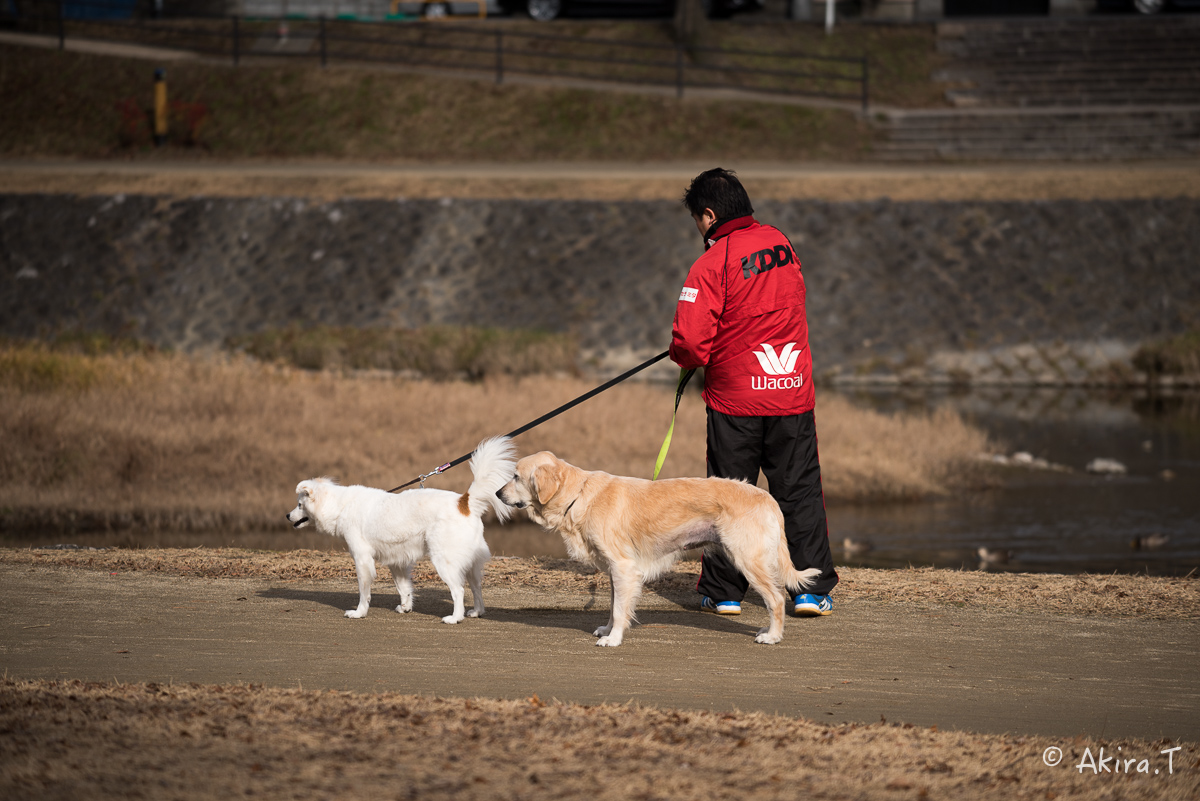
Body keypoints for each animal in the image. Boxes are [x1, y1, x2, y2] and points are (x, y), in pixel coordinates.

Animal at [291, 434, 520, 623]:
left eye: (300, 505)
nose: (287, 515)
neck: (341, 505)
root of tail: (464, 501)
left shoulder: (362, 560)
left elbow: (364, 592)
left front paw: (359, 612)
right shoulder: (397, 561)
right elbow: (404, 588)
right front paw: (405, 607)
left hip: (444, 561)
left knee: (458, 590)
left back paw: (455, 618)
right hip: (471, 562)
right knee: (476, 587)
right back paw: (476, 612)